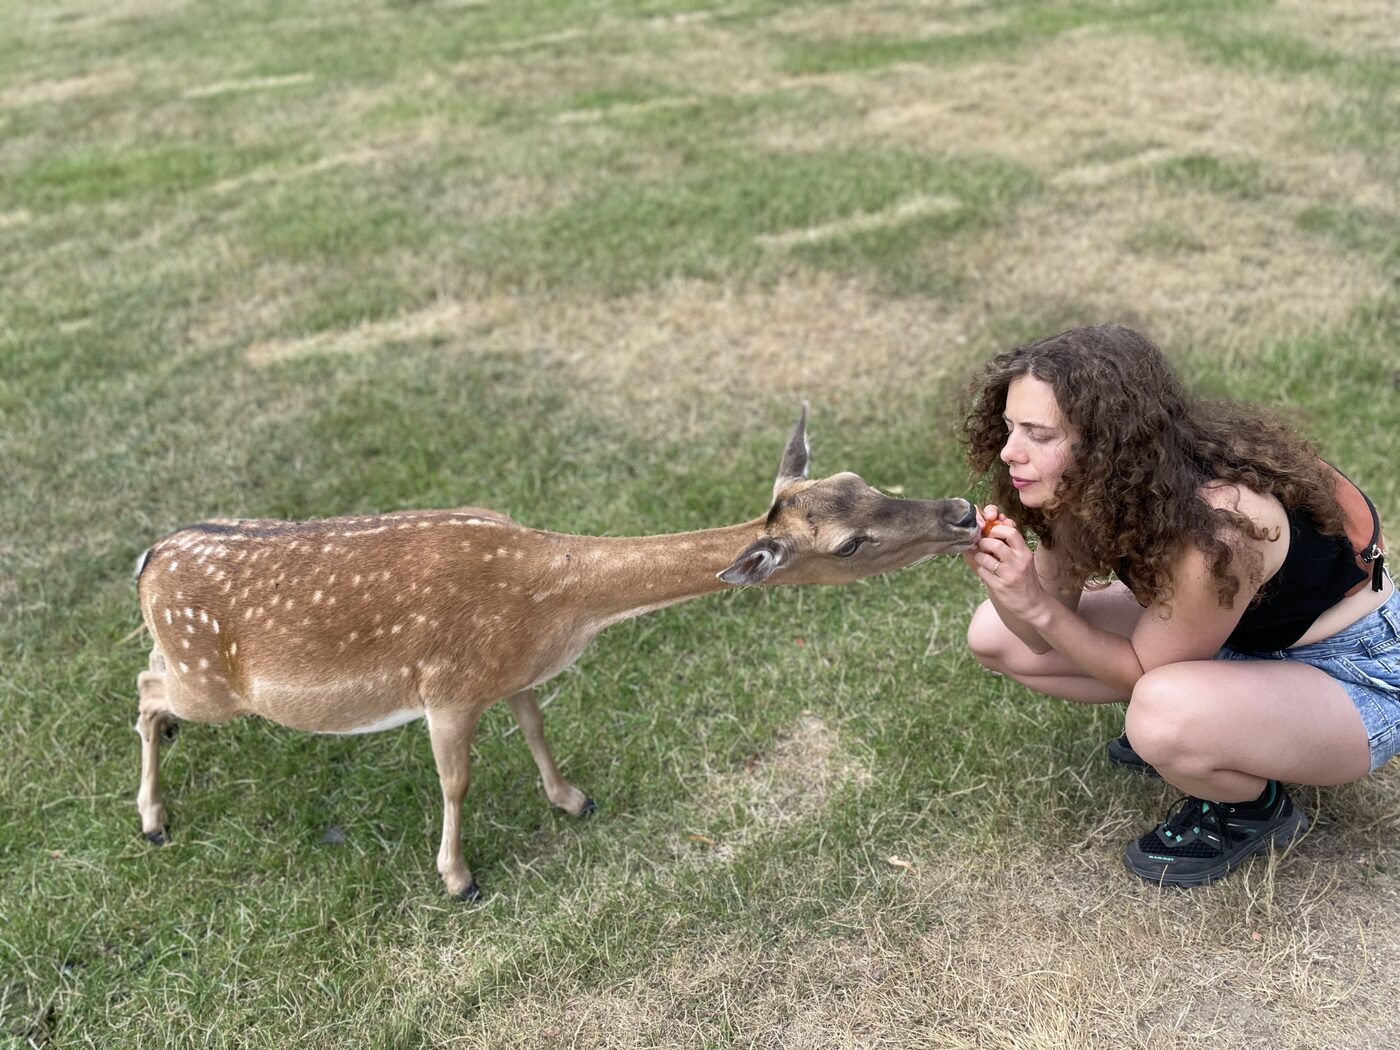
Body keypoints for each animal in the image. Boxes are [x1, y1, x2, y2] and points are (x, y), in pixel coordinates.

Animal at [132, 406, 978, 899]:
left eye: (861, 478)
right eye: (850, 544)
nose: (965, 511)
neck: (557, 609)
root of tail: (147, 559)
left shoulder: (513, 673)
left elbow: (537, 727)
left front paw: (573, 801)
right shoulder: (448, 687)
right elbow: (457, 781)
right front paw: (458, 879)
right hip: (210, 680)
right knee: (144, 687)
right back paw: (152, 820)